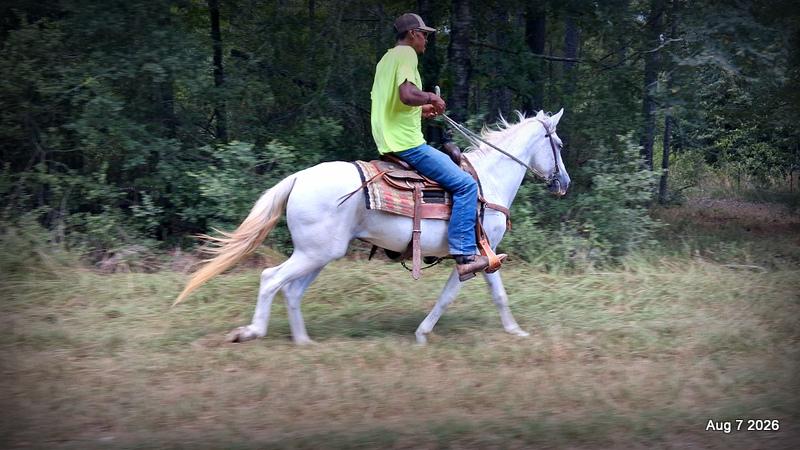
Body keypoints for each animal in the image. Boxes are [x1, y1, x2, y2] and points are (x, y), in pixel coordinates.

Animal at [174, 109, 570, 345]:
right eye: (559, 143)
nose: (563, 182)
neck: (487, 180)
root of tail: (298, 178)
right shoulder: (474, 254)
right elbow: (451, 296)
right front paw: (423, 334)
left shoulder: (484, 256)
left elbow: (495, 294)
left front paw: (515, 331)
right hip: (314, 253)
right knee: (272, 279)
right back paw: (253, 331)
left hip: (318, 254)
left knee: (292, 291)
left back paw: (304, 342)